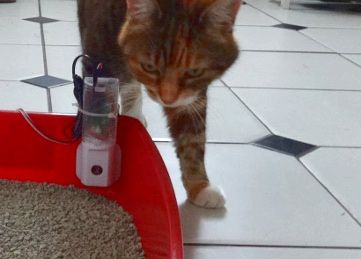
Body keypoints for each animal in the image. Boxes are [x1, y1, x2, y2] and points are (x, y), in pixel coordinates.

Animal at [77, 0, 240, 208]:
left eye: (195, 71)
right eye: (149, 67)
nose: (167, 99)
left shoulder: (190, 97)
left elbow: (192, 139)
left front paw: (200, 187)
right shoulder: (97, 55)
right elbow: (96, 100)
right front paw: (96, 144)